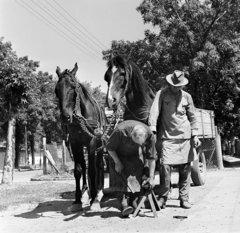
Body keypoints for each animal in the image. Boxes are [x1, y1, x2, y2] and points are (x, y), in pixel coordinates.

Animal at [55, 62, 107, 210]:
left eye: (73, 87)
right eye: (56, 90)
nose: (65, 117)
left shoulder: (92, 142)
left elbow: (92, 170)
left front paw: (94, 199)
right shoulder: (75, 143)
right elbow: (78, 170)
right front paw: (78, 199)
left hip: (100, 146)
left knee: (99, 165)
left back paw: (98, 191)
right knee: (84, 166)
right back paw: (86, 191)